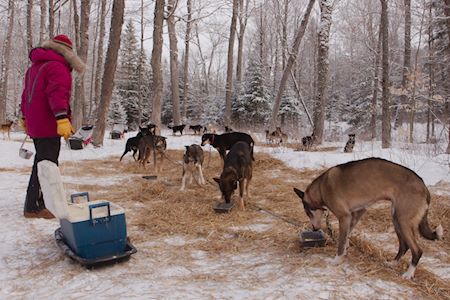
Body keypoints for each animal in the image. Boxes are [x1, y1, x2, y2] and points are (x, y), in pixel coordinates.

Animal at [292, 158, 442, 280]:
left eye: (308, 213)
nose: (314, 228)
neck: (321, 188)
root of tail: (423, 186)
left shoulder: (344, 216)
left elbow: (341, 241)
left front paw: (337, 260)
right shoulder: (357, 213)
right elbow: (346, 236)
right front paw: (346, 249)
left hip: (402, 220)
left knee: (417, 250)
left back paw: (408, 274)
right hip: (396, 219)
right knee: (404, 246)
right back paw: (392, 263)